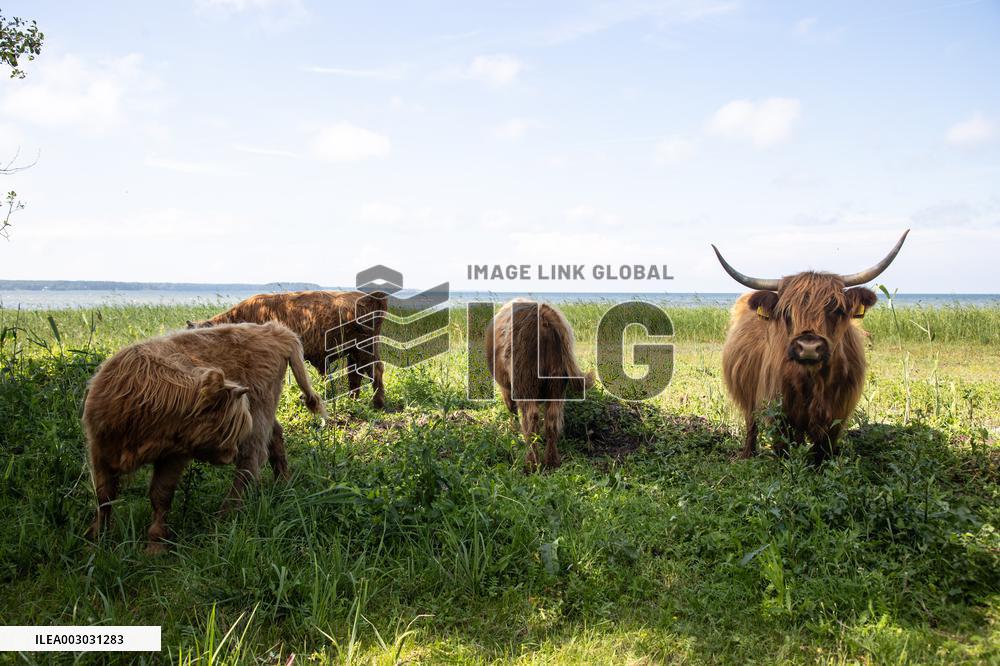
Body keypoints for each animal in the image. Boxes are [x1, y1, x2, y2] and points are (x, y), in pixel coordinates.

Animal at [84, 321, 327, 553]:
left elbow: (160, 494)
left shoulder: (174, 455)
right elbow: (104, 495)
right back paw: (283, 483)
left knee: (251, 460)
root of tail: (275, 330)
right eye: (224, 428)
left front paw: (155, 545)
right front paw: (97, 537)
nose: (230, 454)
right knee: (275, 436)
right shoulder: (99, 448)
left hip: (259, 412)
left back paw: (227, 513)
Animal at [188, 290, 387, 409]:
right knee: (355, 374)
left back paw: (377, 403)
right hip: (354, 351)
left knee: (375, 369)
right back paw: (354, 400)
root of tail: (371, 296)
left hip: (364, 348)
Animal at [485, 298, 595, 471]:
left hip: (524, 381)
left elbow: (511, 409)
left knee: (530, 420)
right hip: (557, 381)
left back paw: (532, 463)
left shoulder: (505, 388)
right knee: (552, 419)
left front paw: (512, 430)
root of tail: (543, 315)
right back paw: (552, 462)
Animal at [713, 230, 908, 464]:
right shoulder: (778, 414)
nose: (808, 347)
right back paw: (747, 455)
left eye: (836, 309)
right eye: (786, 312)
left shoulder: (837, 416)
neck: (813, 381)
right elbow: (784, 451)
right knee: (751, 424)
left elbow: (822, 452)